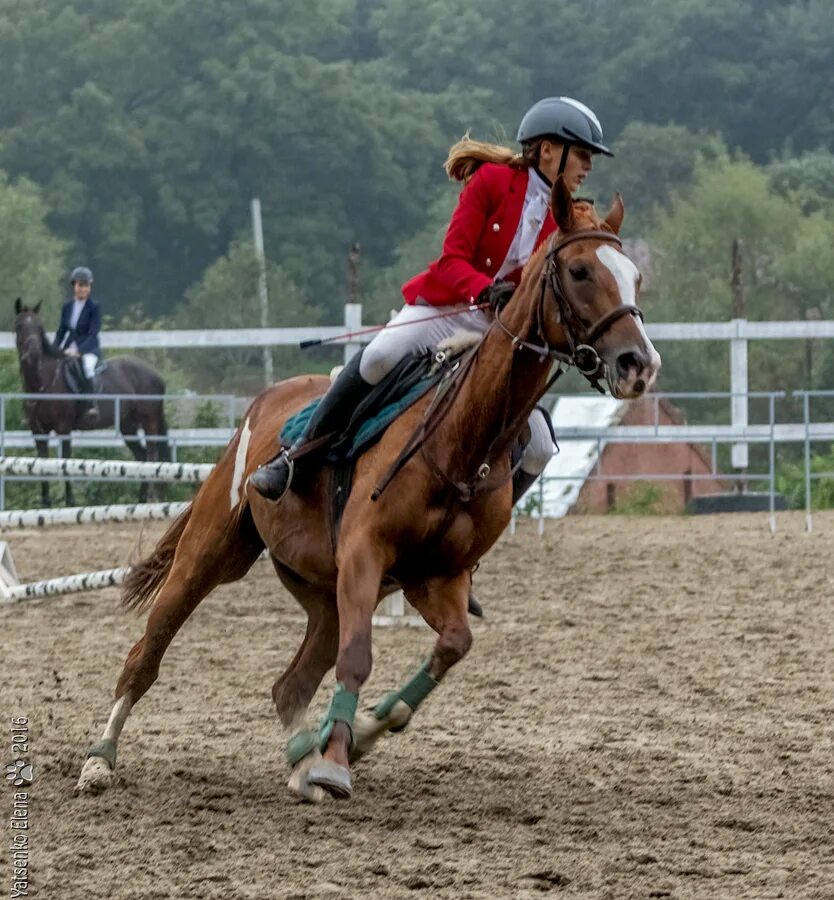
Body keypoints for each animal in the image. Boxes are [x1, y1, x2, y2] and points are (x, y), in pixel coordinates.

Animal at [11, 298, 169, 502]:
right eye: (19, 326)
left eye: (39, 327)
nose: (33, 355)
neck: (41, 383)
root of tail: (156, 374)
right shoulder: (38, 432)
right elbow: (42, 466)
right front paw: (46, 504)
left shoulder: (63, 428)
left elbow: (65, 462)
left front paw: (70, 502)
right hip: (128, 425)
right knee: (141, 456)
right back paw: (140, 501)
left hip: (150, 421)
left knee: (151, 455)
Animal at [76, 178, 656, 800]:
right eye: (579, 270)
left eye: (635, 276)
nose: (639, 364)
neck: (462, 439)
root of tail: (264, 402)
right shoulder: (364, 555)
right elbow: (357, 659)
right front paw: (336, 761)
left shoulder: (437, 578)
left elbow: (453, 645)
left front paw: (361, 735)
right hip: (208, 556)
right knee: (147, 653)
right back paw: (101, 760)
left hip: (324, 593)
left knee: (291, 684)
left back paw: (302, 759)